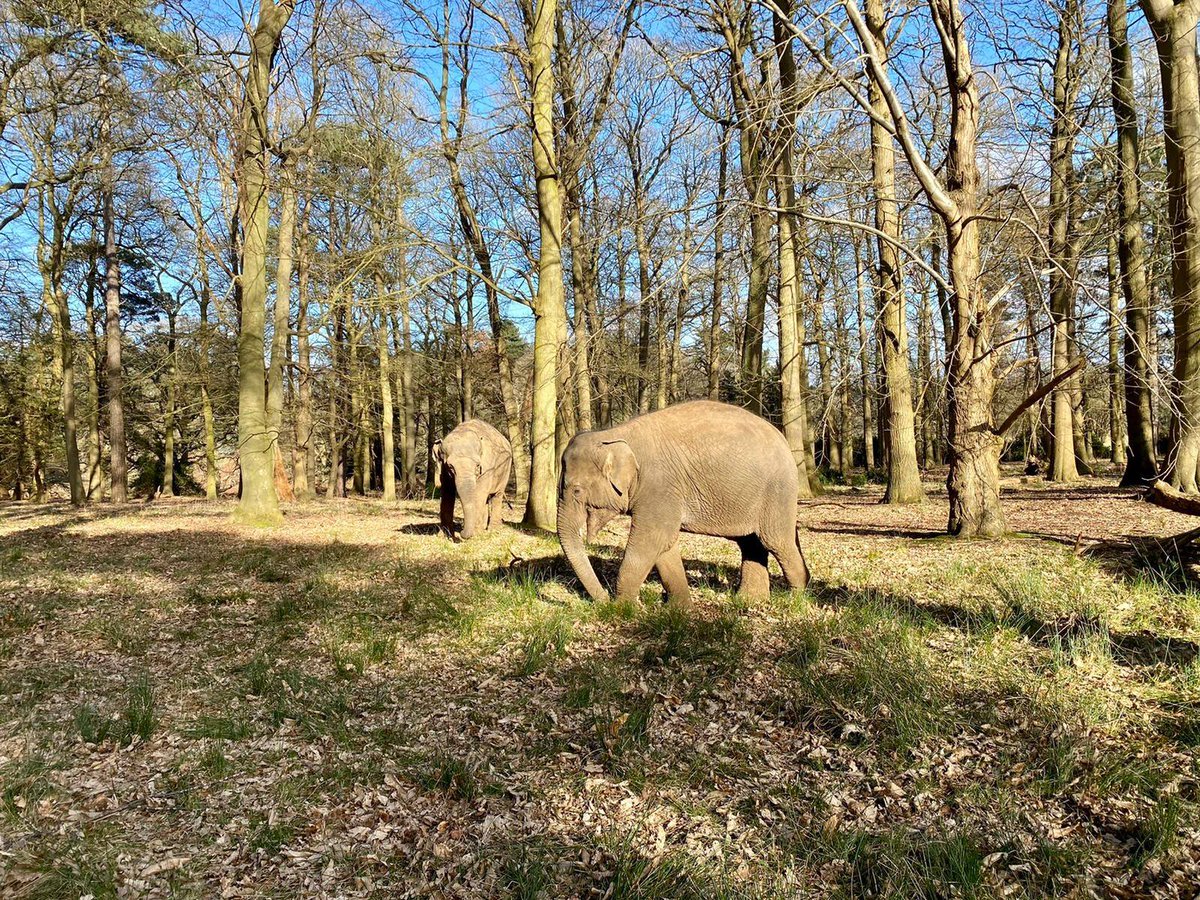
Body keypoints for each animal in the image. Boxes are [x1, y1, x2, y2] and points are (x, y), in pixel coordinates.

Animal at [556, 400, 811, 607]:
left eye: (576, 490)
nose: (603, 600)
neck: (615, 432)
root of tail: (784, 440)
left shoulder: (658, 486)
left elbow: (652, 539)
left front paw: (624, 609)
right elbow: (665, 545)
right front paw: (680, 609)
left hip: (777, 492)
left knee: (776, 541)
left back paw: (796, 599)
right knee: (750, 543)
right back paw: (750, 601)